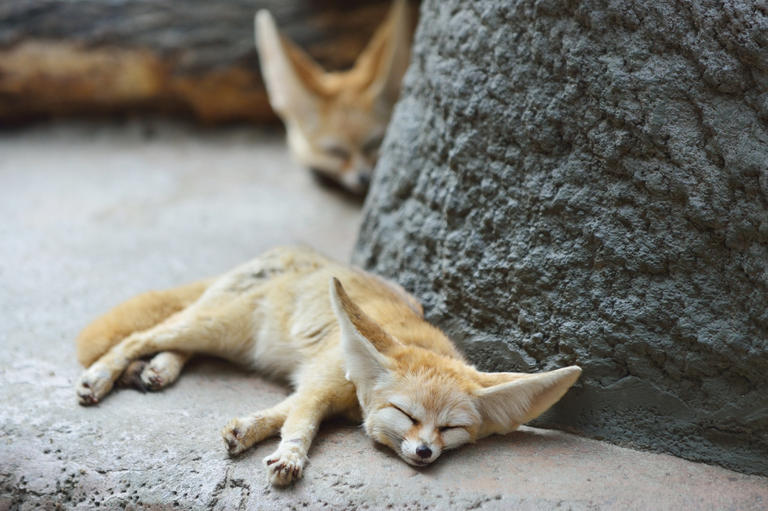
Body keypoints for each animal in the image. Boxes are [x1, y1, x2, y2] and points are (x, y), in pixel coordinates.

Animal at [78, 248, 584, 488]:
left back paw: (159, 369)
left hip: (221, 336)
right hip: (217, 326)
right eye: (407, 416)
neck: (354, 396)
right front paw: (289, 457)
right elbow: (300, 422)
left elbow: (282, 412)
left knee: (171, 342)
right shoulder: (321, 382)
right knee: (141, 336)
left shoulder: (318, 386)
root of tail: (287, 251)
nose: (424, 453)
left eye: (450, 429)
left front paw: (247, 430)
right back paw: (102, 376)